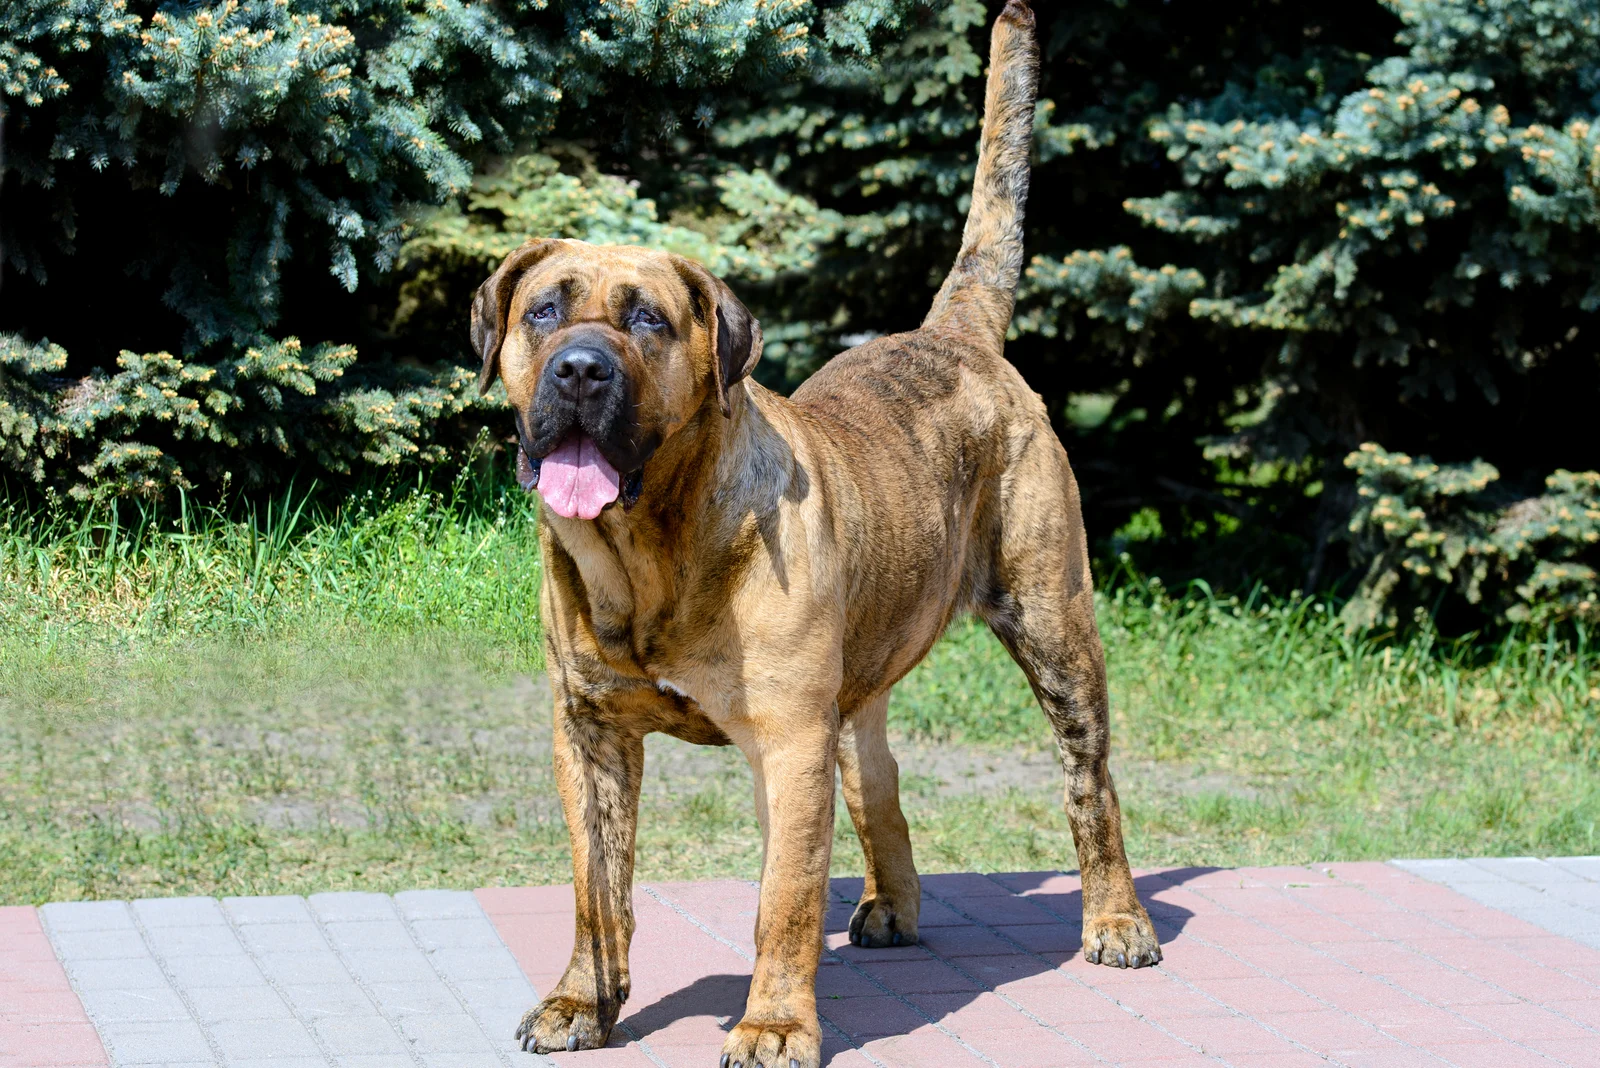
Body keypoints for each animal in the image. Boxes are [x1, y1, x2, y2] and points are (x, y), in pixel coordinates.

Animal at [467, 4, 1158, 1061]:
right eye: (544, 310)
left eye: (649, 321)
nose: (582, 369)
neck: (649, 550)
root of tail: (955, 334)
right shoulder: (587, 731)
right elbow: (597, 886)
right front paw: (583, 1002)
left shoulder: (789, 740)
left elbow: (783, 898)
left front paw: (775, 1023)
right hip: (862, 670)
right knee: (877, 774)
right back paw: (892, 903)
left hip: (1054, 623)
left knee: (1092, 780)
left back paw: (1117, 921)